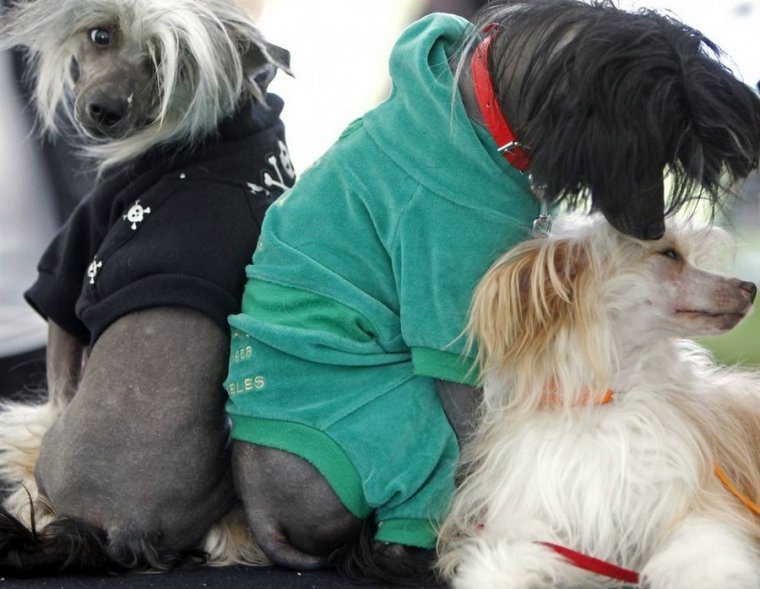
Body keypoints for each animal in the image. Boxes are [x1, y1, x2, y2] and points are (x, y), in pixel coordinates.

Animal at [0, 0, 292, 575]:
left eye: (167, 64)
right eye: (100, 35)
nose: (104, 111)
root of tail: (128, 529)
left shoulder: (70, 270)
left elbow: (58, 381)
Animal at [437, 213, 760, 588]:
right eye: (669, 254)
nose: (750, 287)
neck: (606, 403)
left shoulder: (697, 506)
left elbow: (706, 558)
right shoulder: (547, 521)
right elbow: (507, 558)